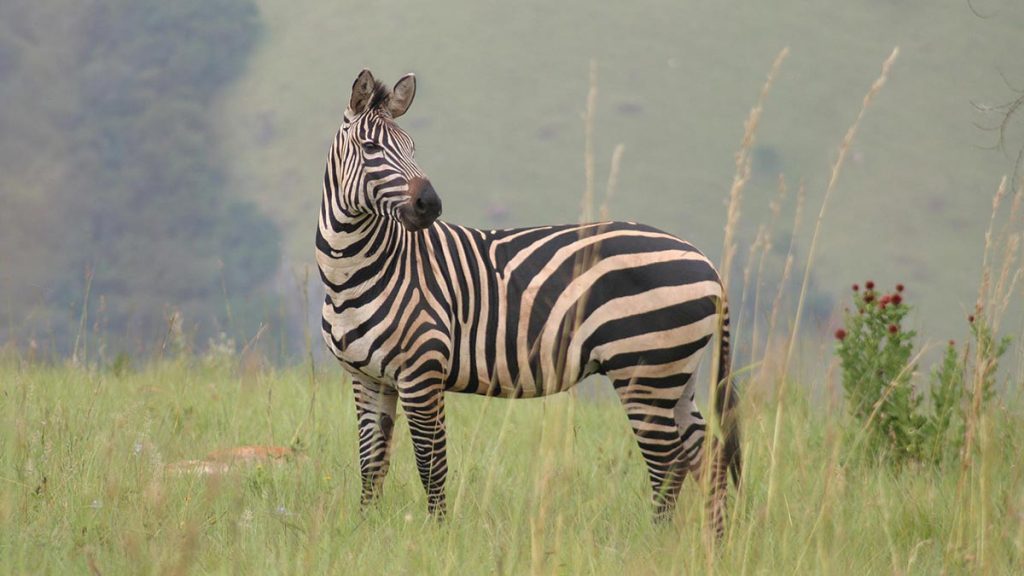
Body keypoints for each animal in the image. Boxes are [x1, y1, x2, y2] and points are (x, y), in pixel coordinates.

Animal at [315, 69, 741, 532]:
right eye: (371, 148)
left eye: (412, 149)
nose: (431, 205)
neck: (355, 270)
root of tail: (707, 263)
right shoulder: (367, 378)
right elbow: (371, 463)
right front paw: (365, 528)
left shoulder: (421, 371)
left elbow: (430, 463)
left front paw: (436, 533)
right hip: (677, 375)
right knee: (707, 456)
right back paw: (714, 540)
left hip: (644, 371)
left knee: (668, 463)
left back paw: (658, 539)